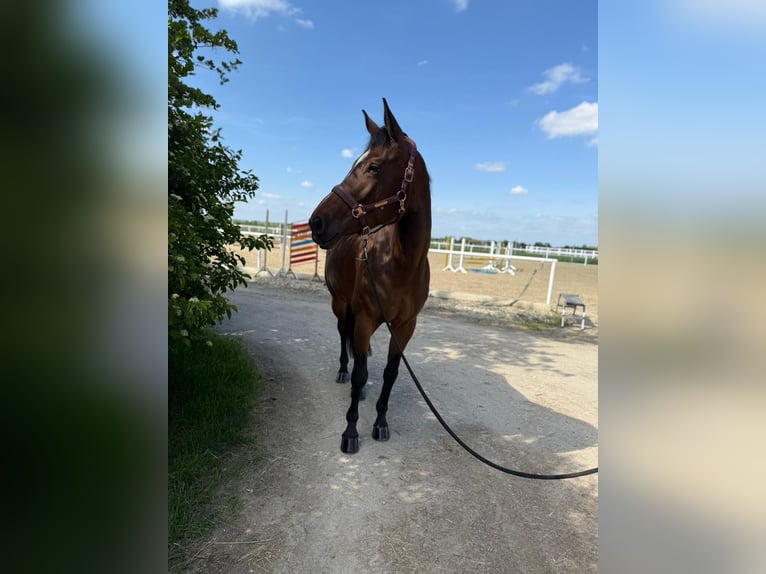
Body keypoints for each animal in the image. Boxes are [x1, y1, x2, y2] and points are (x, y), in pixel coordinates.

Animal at [309, 98, 431, 454]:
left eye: (373, 167)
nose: (316, 222)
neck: (403, 263)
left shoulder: (405, 327)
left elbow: (390, 374)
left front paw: (380, 422)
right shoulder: (364, 319)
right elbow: (361, 373)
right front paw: (350, 431)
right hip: (340, 304)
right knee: (343, 337)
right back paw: (342, 372)